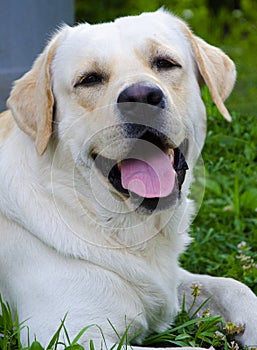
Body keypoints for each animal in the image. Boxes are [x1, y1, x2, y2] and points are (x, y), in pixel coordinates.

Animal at [0, 8, 256, 350]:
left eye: (165, 63)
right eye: (89, 79)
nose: (142, 95)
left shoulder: (170, 283)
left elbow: (234, 287)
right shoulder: (69, 334)